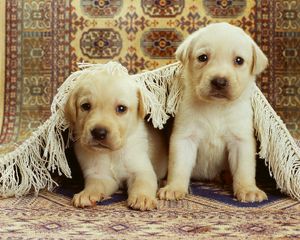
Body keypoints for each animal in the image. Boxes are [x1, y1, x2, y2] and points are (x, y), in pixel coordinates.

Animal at [64, 67, 168, 210]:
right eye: (85, 106)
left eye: (121, 108)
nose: (99, 132)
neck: (112, 153)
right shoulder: (100, 175)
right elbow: (95, 185)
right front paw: (87, 194)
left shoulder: (141, 169)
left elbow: (142, 182)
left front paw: (142, 197)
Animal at [158, 22, 268, 202]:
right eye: (203, 57)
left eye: (239, 60)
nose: (219, 82)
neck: (216, 107)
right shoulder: (185, 137)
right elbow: (178, 166)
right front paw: (174, 188)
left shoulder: (241, 140)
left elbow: (244, 169)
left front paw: (248, 189)